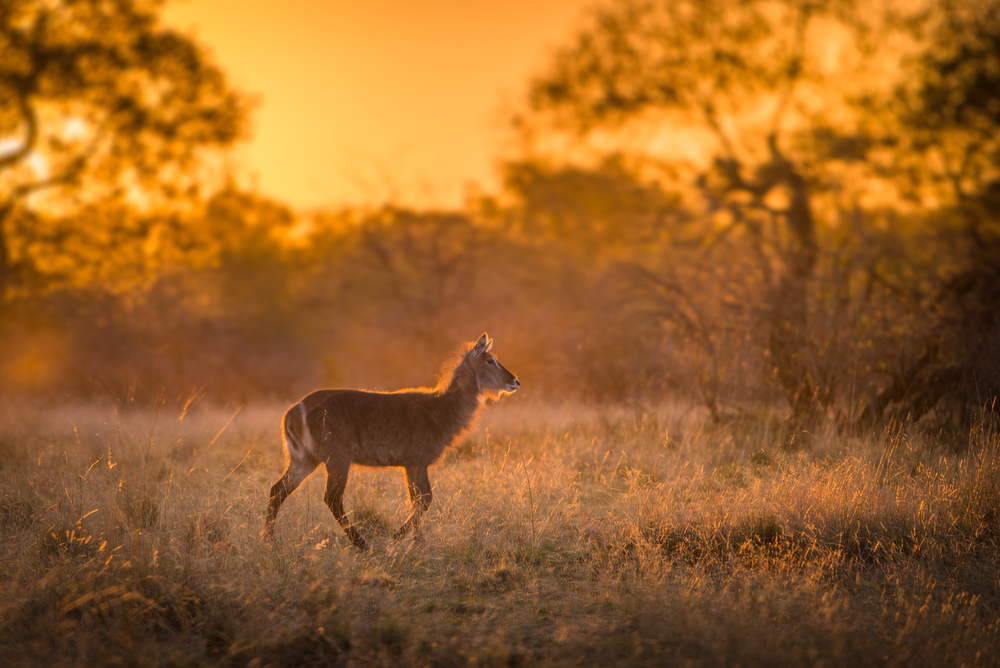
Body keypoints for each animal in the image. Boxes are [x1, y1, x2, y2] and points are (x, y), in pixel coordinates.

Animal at [262, 332, 520, 548]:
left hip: (304, 459)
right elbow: (424, 500)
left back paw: (269, 541)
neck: (442, 410)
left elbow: (416, 500)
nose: (515, 381)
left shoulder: (410, 464)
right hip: (337, 459)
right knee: (332, 498)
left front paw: (418, 542)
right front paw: (397, 540)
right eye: (490, 360)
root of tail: (293, 411)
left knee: (277, 490)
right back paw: (362, 545)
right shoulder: (417, 461)